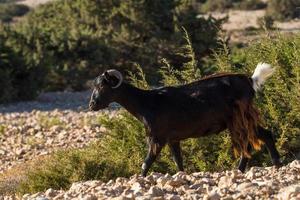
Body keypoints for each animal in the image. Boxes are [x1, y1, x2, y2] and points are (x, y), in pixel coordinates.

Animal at [88, 63, 282, 177]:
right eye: (95, 86)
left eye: (103, 86)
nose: (92, 104)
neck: (146, 102)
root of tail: (248, 80)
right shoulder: (172, 139)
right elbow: (178, 161)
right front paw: (182, 176)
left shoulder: (157, 137)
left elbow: (147, 161)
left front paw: (141, 178)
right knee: (255, 139)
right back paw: (246, 169)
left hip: (240, 117)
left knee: (259, 137)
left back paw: (274, 165)